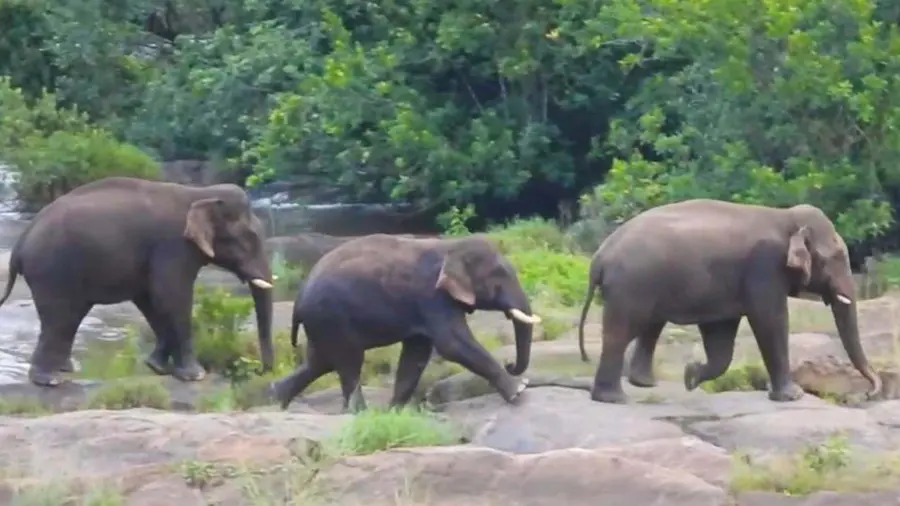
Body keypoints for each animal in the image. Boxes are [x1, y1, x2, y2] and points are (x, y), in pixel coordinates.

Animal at [0, 176, 276, 387]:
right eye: (250, 237)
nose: (262, 372)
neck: (200, 192)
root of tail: (20, 243)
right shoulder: (172, 247)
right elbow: (172, 296)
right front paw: (195, 376)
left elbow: (152, 300)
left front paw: (156, 367)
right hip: (52, 270)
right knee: (60, 317)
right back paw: (49, 380)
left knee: (68, 318)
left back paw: (64, 370)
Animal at [269, 233, 541, 411]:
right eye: (500, 276)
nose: (510, 364)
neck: (450, 246)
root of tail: (298, 300)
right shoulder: (432, 297)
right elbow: (452, 344)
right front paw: (520, 389)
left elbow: (416, 354)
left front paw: (395, 412)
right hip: (331, 317)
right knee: (348, 362)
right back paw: (358, 413)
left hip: (322, 322)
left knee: (320, 362)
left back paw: (277, 400)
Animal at [576, 199, 882, 404]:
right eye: (836, 258)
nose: (870, 392)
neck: (784, 216)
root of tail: (599, 257)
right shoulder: (764, 267)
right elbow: (770, 321)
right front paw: (792, 396)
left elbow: (721, 334)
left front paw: (691, 376)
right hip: (630, 286)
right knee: (621, 331)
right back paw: (614, 398)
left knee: (650, 326)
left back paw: (644, 384)